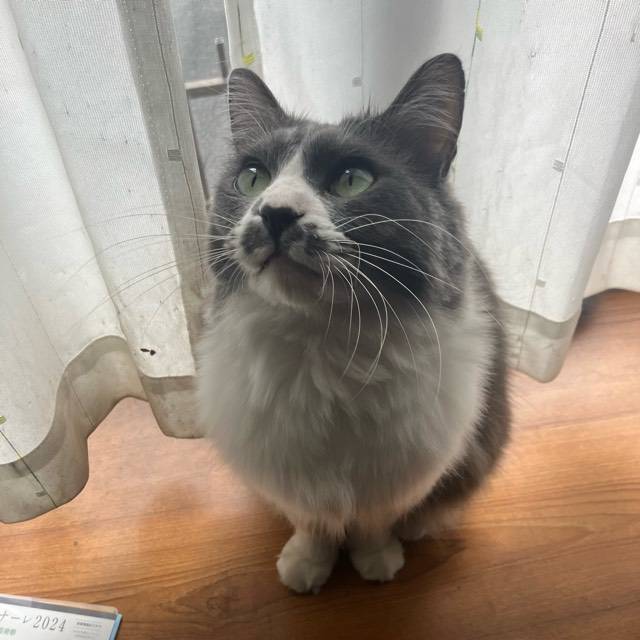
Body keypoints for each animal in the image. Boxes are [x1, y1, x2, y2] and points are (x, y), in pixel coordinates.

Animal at [196, 54, 510, 593]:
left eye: (352, 180)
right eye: (253, 178)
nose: (274, 213)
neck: (319, 343)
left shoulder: (398, 469)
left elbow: (372, 521)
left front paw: (377, 561)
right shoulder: (288, 471)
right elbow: (312, 522)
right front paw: (306, 566)